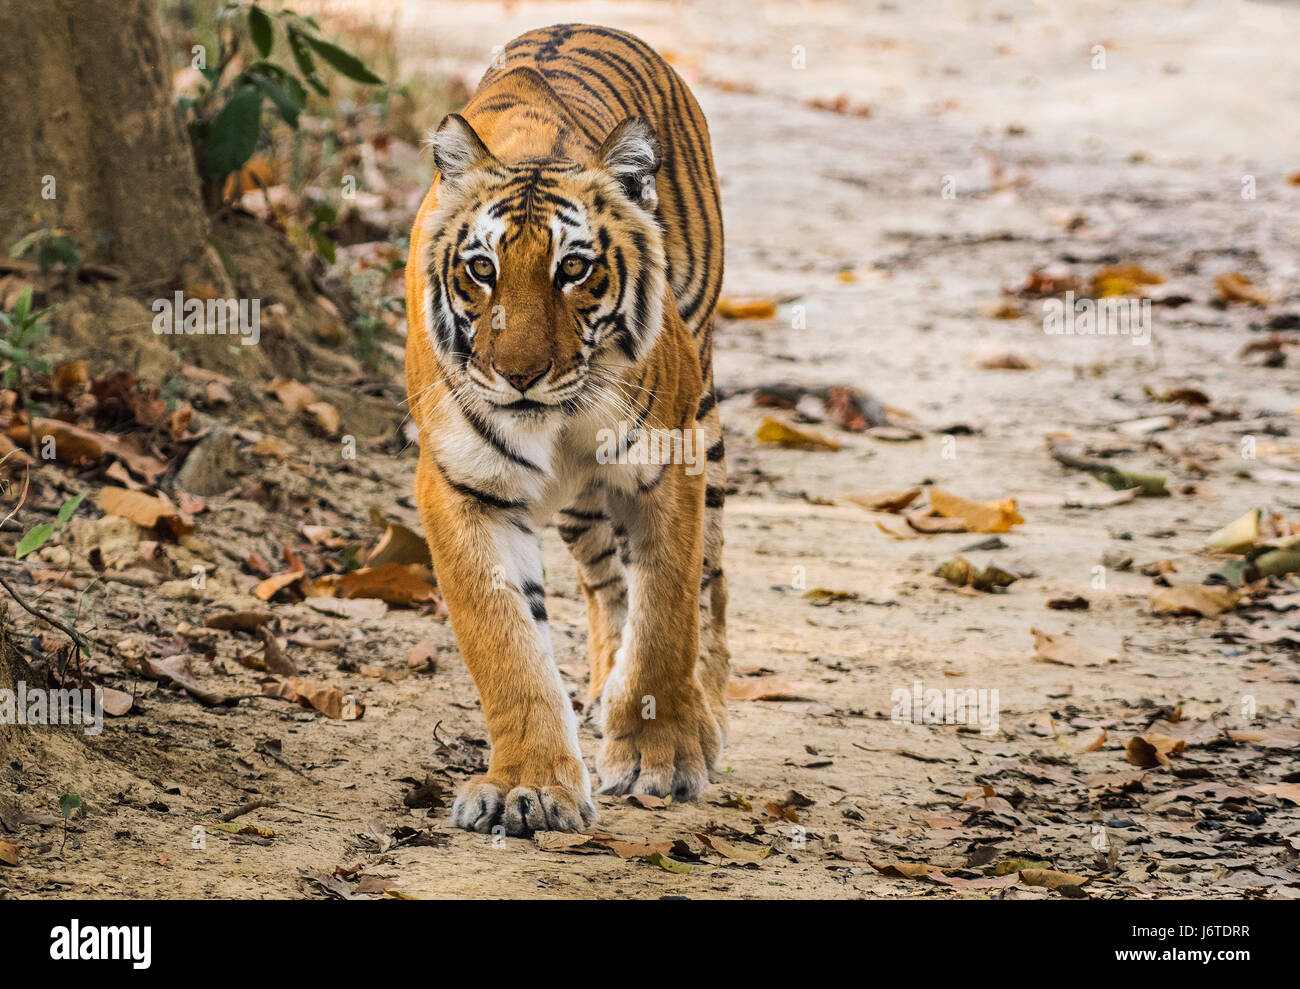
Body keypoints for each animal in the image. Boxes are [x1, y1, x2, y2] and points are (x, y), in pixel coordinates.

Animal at [403, 21, 728, 831]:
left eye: (574, 269)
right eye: (481, 270)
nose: (520, 374)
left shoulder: (669, 462)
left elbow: (667, 611)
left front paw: (659, 756)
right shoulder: (462, 487)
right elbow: (507, 644)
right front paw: (529, 786)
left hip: (706, 414)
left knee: (711, 581)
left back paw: (704, 716)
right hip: (583, 504)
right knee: (606, 584)